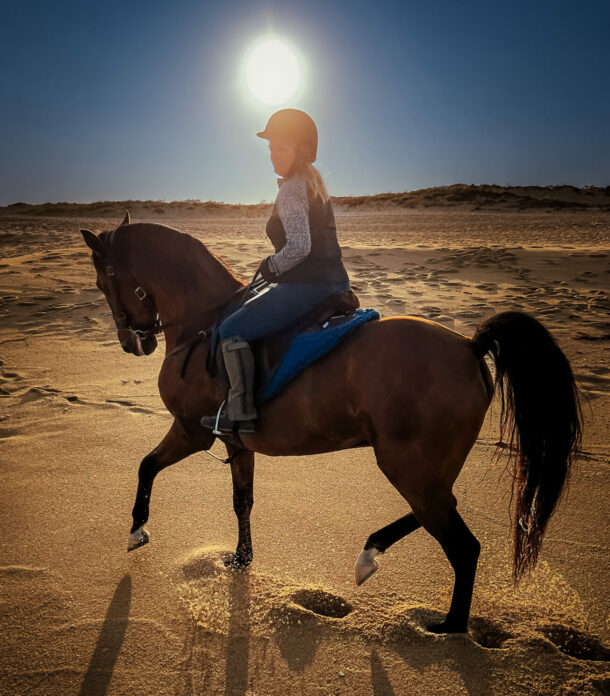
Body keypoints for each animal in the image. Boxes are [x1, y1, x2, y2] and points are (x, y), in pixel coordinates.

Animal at [80, 213, 582, 634]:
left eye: (104, 281)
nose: (133, 343)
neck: (203, 322)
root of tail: (469, 346)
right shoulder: (236, 443)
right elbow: (242, 501)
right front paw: (241, 559)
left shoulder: (192, 431)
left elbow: (146, 465)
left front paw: (136, 530)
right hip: (424, 470)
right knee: (437, 512)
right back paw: (372, 553)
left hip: (406, 467)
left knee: (461, 544)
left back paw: (448, 626)